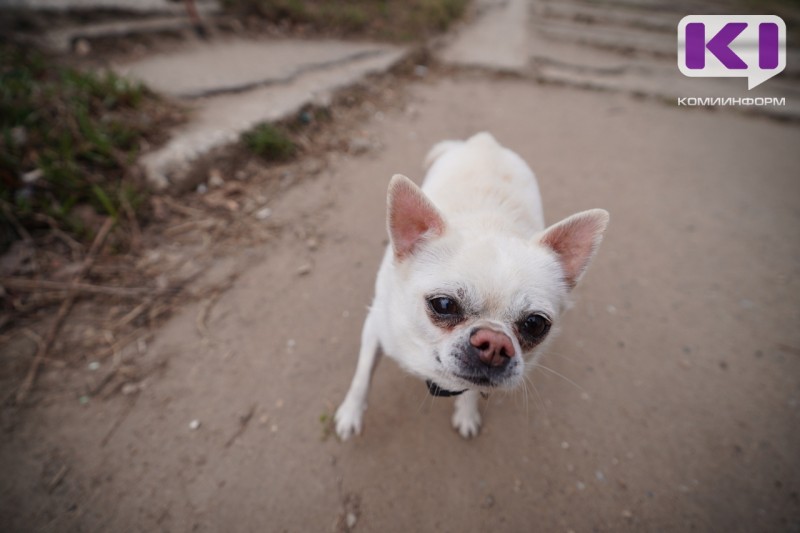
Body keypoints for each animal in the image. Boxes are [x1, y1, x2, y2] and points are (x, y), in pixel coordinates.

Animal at [334, 132, 608, 436]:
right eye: (443, 304)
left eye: (536, 324)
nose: (496, 343)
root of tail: (484, 140)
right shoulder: (375, 328)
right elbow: (362, 374)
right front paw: (351, 413)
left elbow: (472, 389)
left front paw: (466, 412)